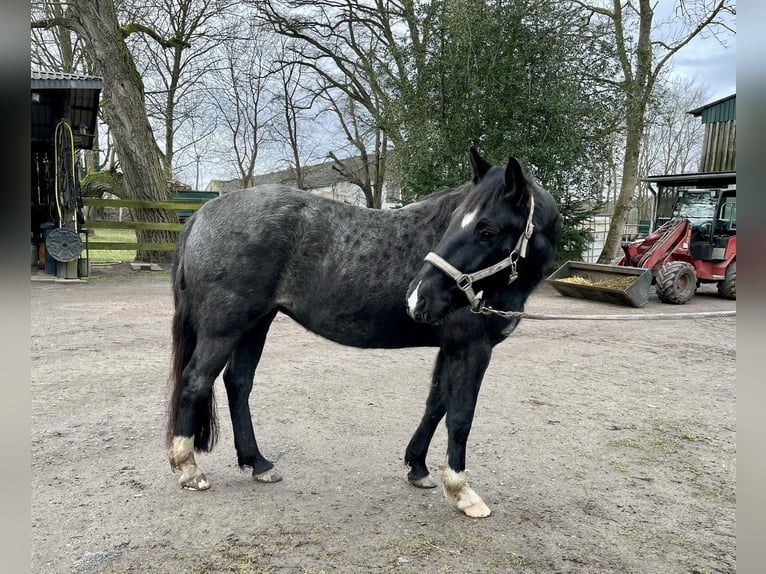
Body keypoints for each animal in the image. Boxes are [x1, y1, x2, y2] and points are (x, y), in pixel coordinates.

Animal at [168, 147, 560, 516]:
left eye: (486, 230)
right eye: (456, 225)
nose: (416, 297)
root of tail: (202, 215)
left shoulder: (449, 348)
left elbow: (436, 405)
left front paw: (417, 467)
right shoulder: (471, 348)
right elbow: (460, 417)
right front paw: (462, 492)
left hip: (256, 324)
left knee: (238, 383)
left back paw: (258, 463)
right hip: (224, 329)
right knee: (196, 381)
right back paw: (189, 469)